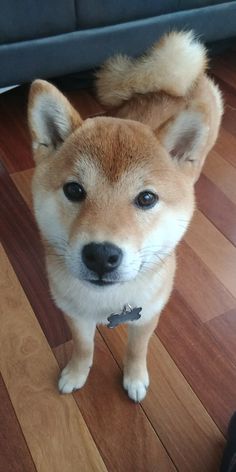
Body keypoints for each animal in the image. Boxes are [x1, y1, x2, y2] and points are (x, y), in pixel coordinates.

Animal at [28, 32, 223, 402]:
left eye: (146, 198)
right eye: (74, 190)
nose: (101, 255)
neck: (106, 304)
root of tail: (171, 81)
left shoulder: (146, 316)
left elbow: (137, 350)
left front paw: (134, 378)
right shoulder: (74, 313)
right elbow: (83, 347)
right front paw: (76, 372)